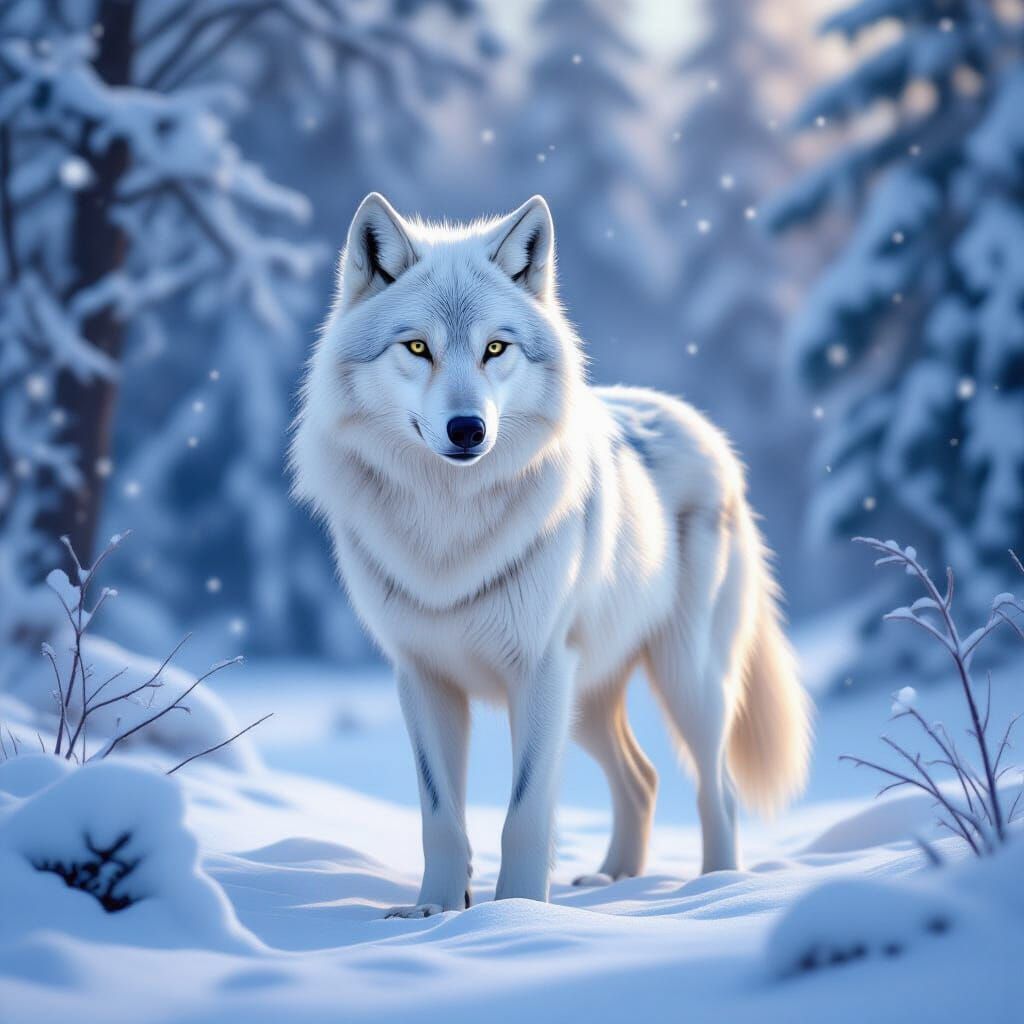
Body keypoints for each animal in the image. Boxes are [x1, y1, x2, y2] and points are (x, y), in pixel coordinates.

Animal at [291, 193, 811, 917]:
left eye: (495, 348)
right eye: (418, 347)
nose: (468, 429)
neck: (448, 528)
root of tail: (703, 428)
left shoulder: (537, 671)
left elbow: (525, 814)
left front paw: (515, 914)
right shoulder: (422, 677)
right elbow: (439, 815)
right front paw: (434, 912)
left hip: (685, 682)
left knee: (719, 792)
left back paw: (717, 891)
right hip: (587, 698)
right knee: (644, 777)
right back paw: (616, 881)